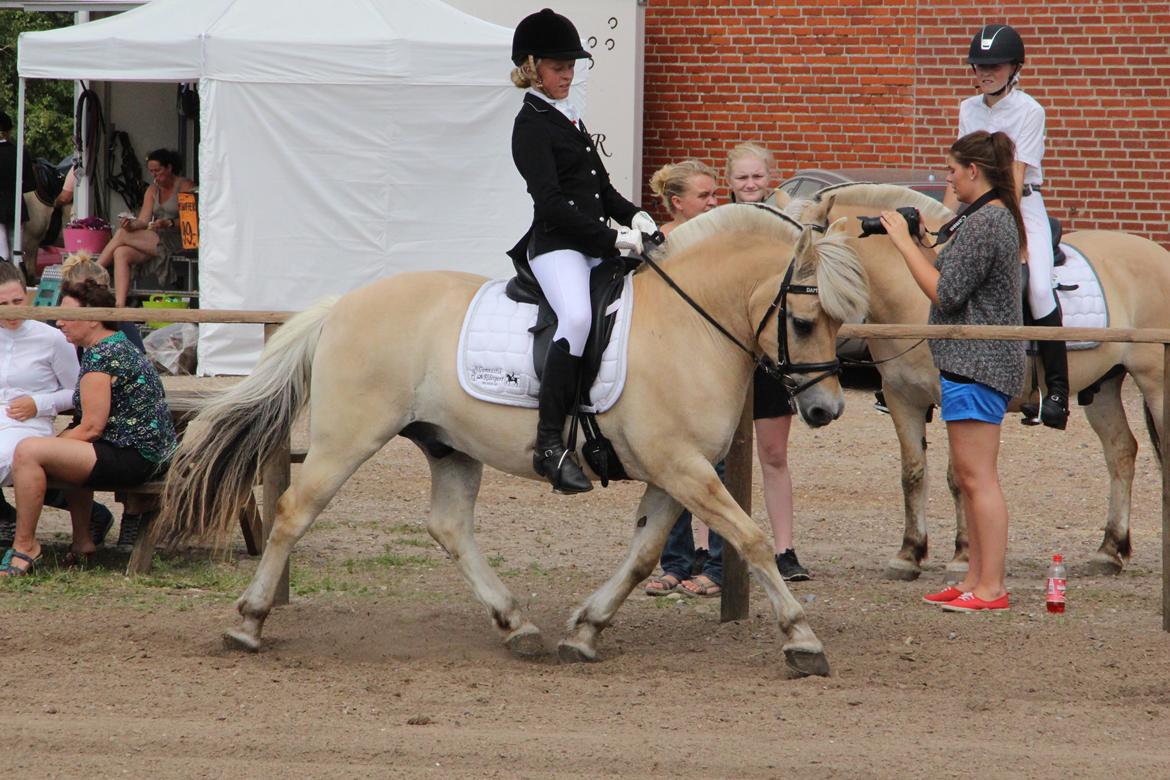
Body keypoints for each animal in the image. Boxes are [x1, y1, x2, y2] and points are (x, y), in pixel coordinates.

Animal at [155, 206, 870, 678]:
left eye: (840, 322)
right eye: (805, 321)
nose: (827, 409)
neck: (689, 325)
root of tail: (344, 306)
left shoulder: (675, 473)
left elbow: (643, 556)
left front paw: (585, 632)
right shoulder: (684, 467)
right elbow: (751, 539)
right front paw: (803, 641)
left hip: (448, 445)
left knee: (450, 527)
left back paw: (516, 624)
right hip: (347, 438)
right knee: (293, 512)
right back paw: (248, 623)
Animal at [786, 185, 1170, 580]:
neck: (919, 292)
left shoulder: (956, 396)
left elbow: (958, 476)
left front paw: (962, 557)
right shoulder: (901, 397)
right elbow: (913, 473)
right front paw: (908, 554)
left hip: (1156, 385)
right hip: (1104, 387)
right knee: (1121, 451)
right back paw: (1109, 551)